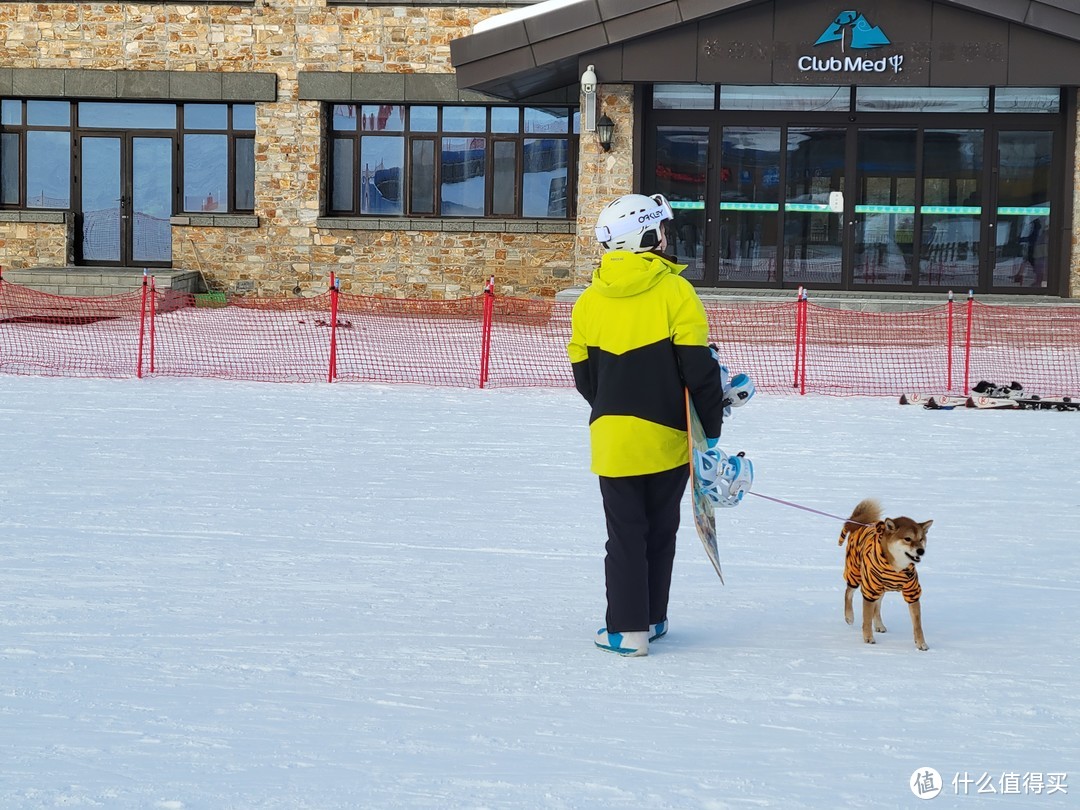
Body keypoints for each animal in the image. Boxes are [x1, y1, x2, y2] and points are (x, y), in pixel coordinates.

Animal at [838, 501, 933, 652]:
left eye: (921, 539)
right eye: (907, 539)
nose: (921, 551)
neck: (897, 568)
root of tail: (862, 523)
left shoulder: (912, 592)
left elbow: (917, 624)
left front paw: (921, 643)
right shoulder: (869, 589)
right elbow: (866, 617)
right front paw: (868, 638)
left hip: (881, 588)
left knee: (877, 606)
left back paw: (879, 625)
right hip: (856, 573)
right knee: (848, 593)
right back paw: (849, 616)